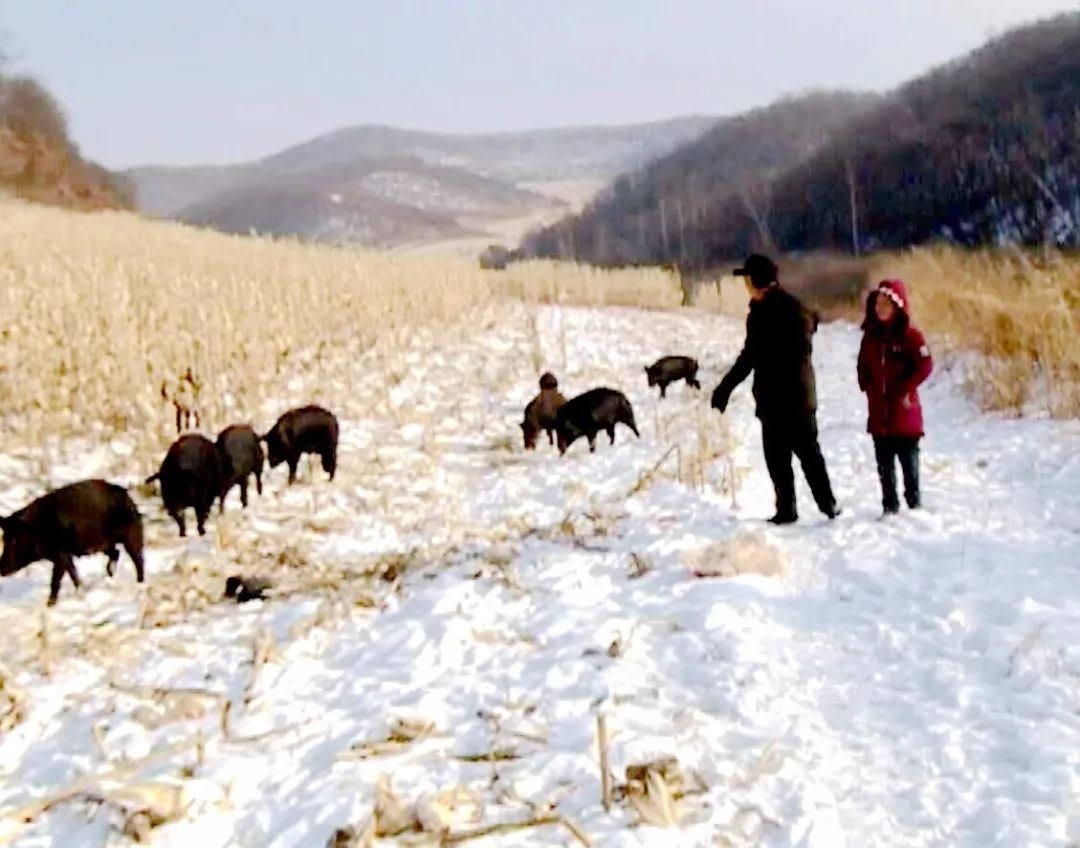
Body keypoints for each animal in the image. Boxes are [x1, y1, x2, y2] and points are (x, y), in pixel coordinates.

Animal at [0, 479, 144, 604]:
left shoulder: (60, 555)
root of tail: (128, 497)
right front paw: (80, 596)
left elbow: (55, 581)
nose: (2, 569)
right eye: (4, 538)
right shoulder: (65, 556)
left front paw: (49, 605)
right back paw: (110, 576)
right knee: (116, 552)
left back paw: (140, 584)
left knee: (138, 560)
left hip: (130, 536)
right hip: (104, 545)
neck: (39, 529)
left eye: (15, 539)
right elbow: (73, 574)